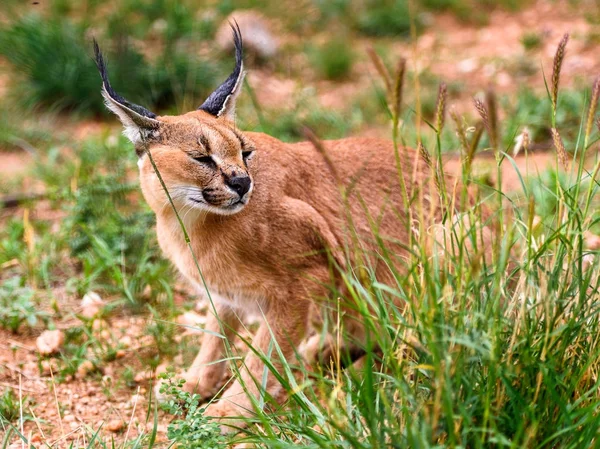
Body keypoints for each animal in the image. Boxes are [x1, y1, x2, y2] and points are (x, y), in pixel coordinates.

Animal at [95, 26, 446, 432]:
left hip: (437, 239)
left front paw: (228, 414)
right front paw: (192, 384)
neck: (187, 221)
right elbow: (216, 335)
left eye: (245, 152)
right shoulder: (224, 293)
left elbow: (263, 358)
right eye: (201, 158)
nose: (242, 183)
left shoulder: (304, 280)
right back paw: (328, 350)